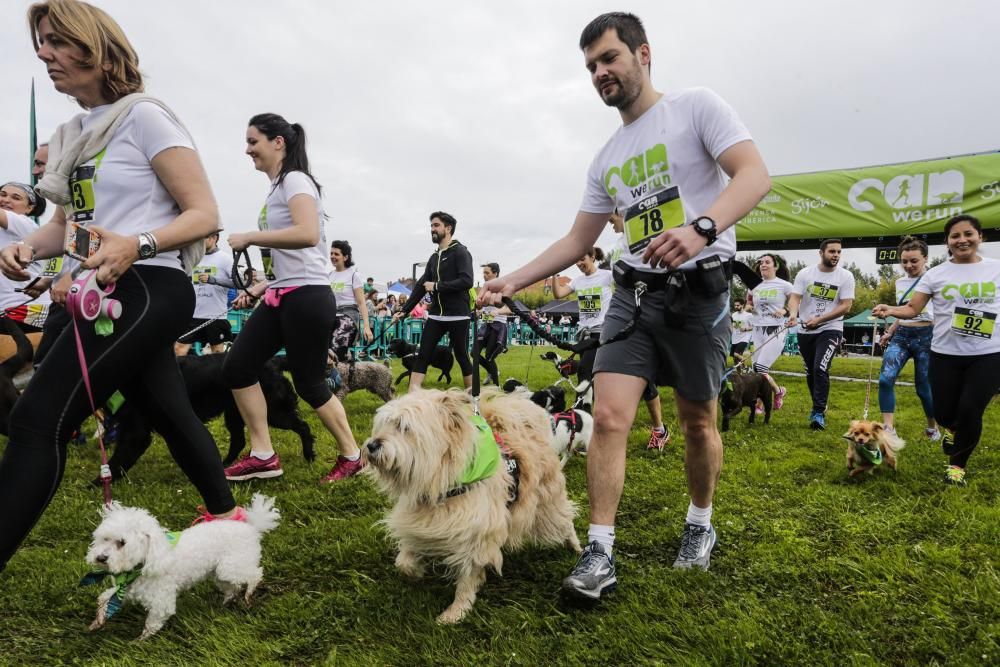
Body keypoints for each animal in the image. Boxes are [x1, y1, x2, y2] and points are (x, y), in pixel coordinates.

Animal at [101, 352, 312, 482]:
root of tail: (274, 360)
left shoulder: (136, 432)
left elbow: (118, 459)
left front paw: (98, 485)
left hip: (272, 411)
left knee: (303, 427)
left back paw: (309, 456)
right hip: (235, 413)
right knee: (238, 440)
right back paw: (225, 464)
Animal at [364, 388, 584, 624]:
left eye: (404, 427)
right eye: (384, 424)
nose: (371, 445)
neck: (445, 484)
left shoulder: (475, 534)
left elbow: (468, 577)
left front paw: (457, 611)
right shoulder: (421, 523)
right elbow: (404, 560)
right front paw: (415, 572)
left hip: (547, 506)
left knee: (566, 522)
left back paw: (577, 547)